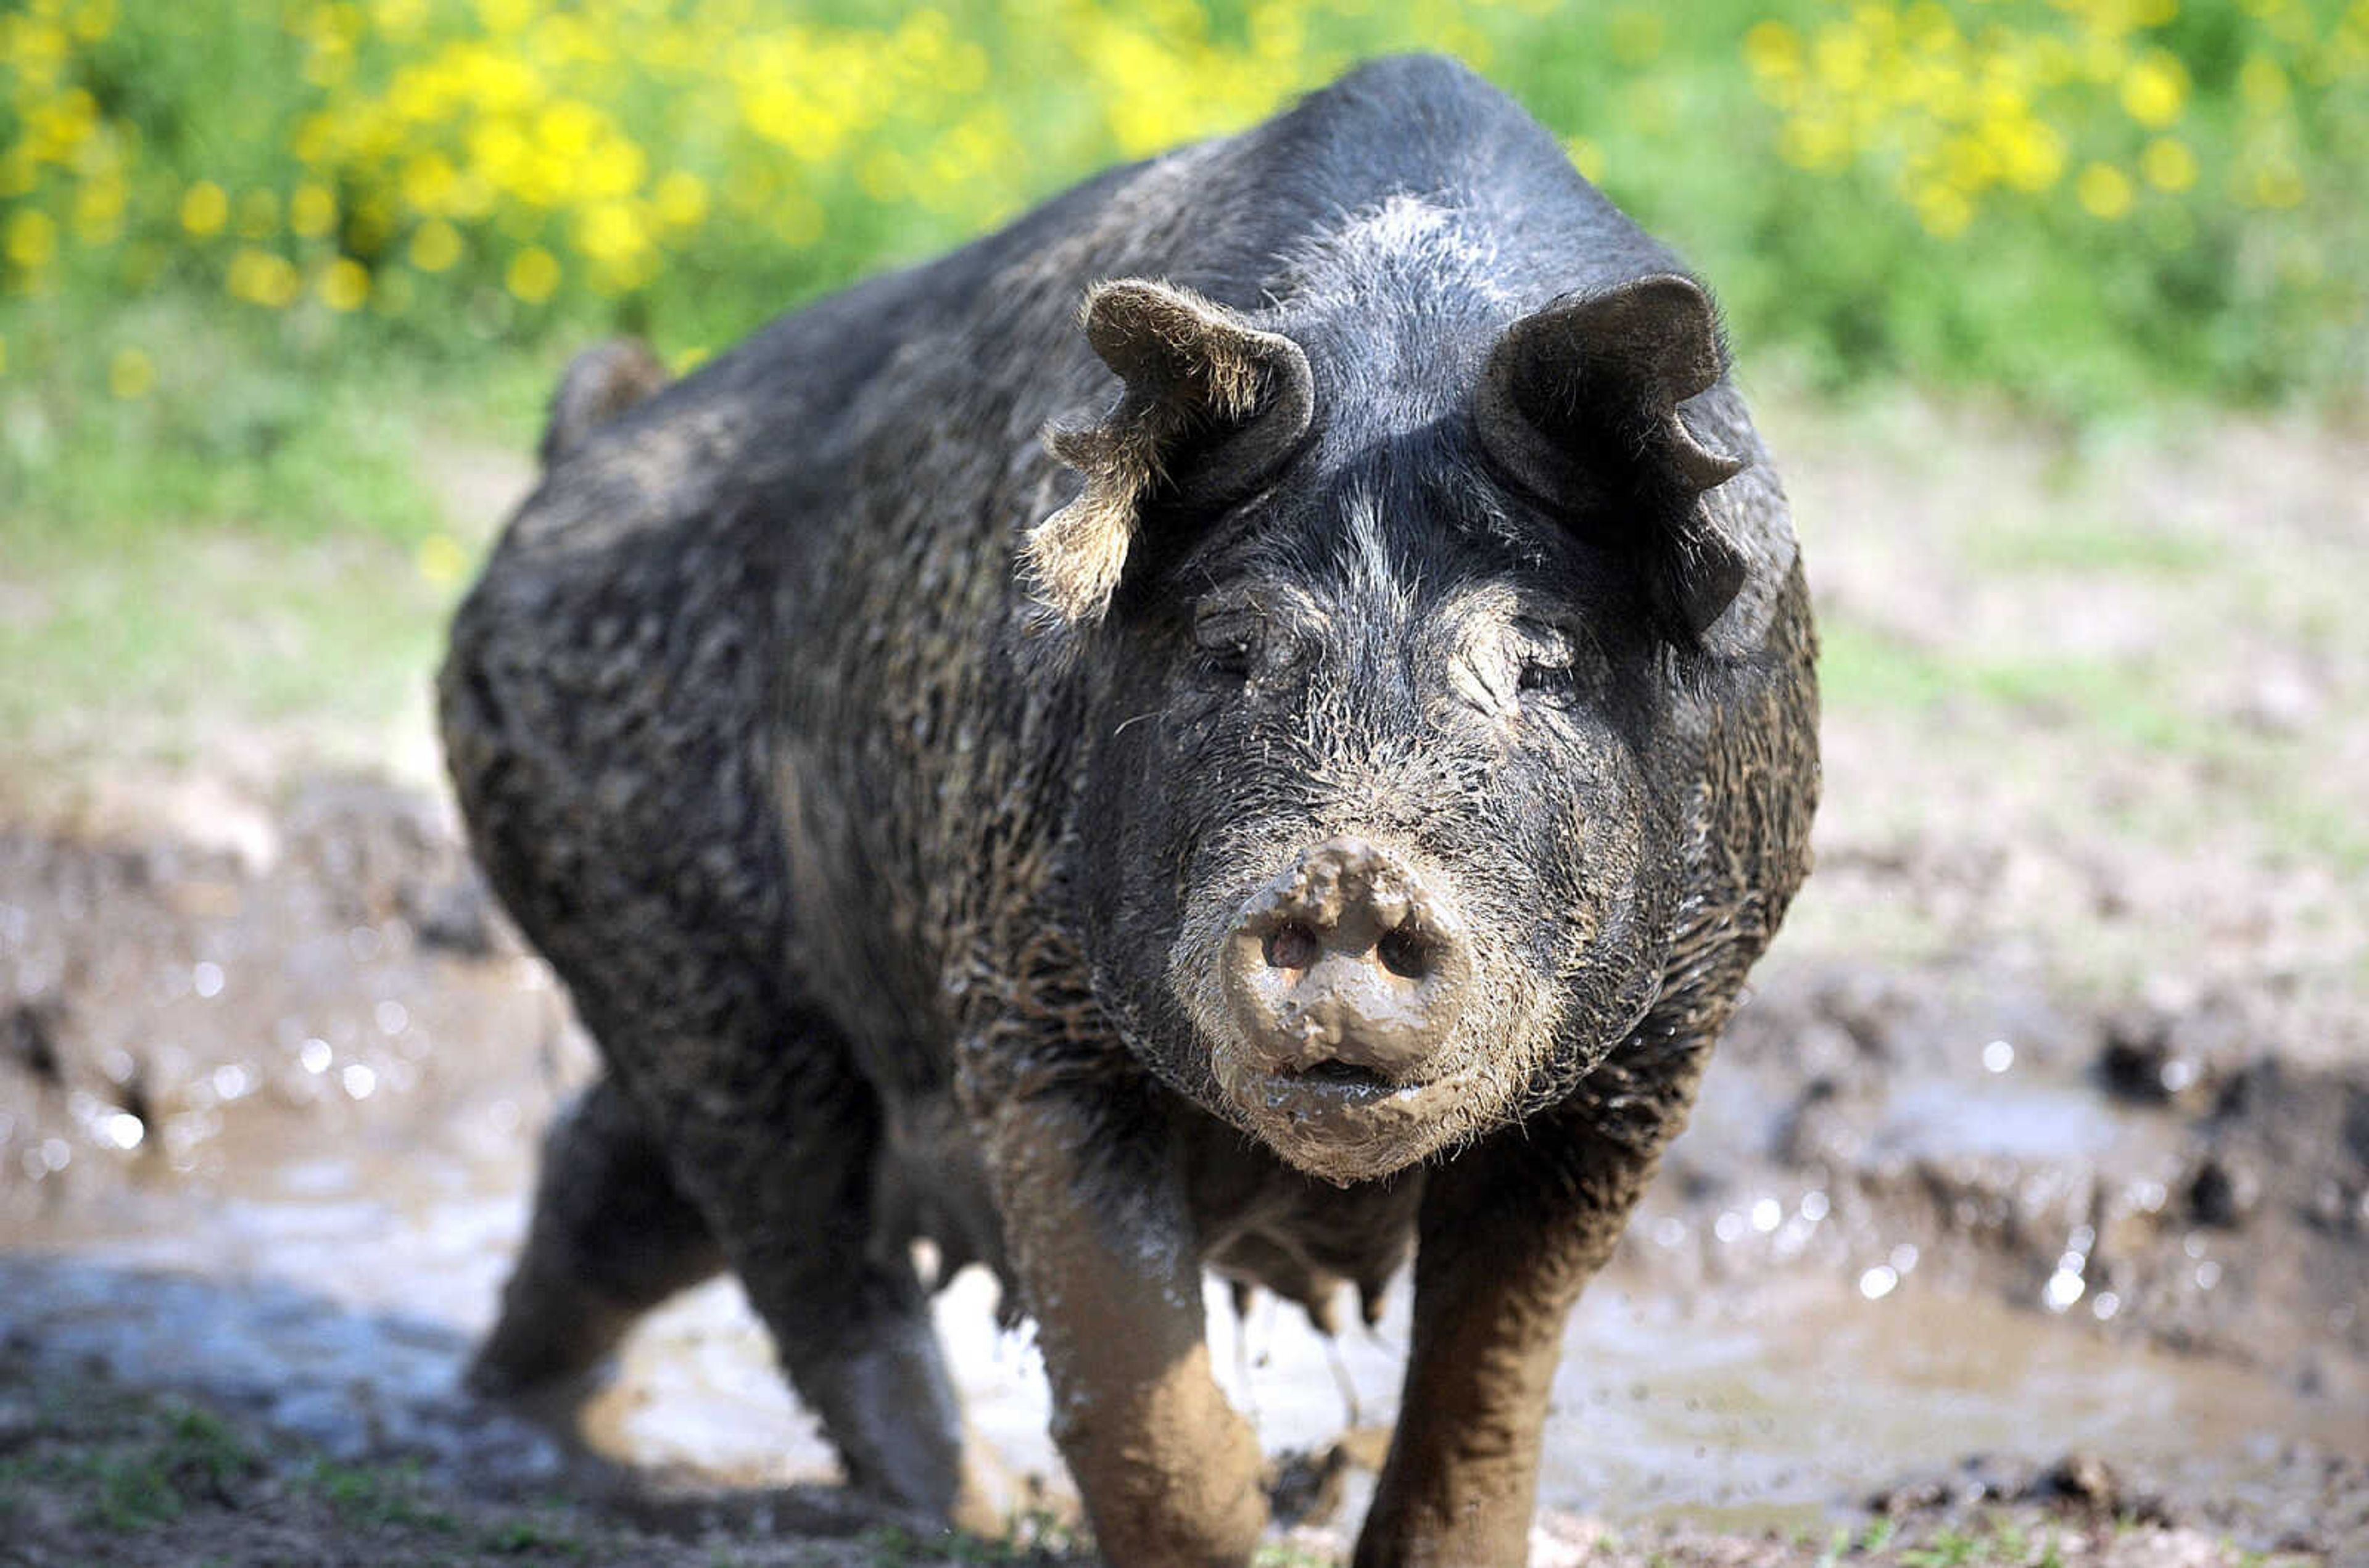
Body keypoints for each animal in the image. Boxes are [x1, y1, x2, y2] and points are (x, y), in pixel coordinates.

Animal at [445, 55, 1809, 1568]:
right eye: (1229, 646)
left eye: (1543, 659)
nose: (1351, 879)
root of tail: (579, 458)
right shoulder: (1022, 996)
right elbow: (1132, 1382)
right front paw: (1230, 1497)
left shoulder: (1660, 1049)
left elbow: (1492, 1375)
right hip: (687, 966)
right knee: (813, 1265)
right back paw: (972, 1507)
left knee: (616, 1185)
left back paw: (532, 1419)